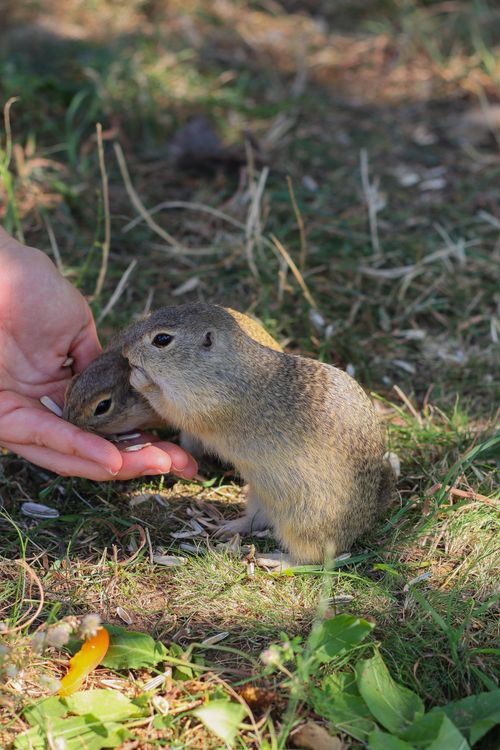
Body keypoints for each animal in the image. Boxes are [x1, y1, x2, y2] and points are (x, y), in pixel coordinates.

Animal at [121, 303, 395, 565]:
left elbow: (167, 405)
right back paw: (229, 526)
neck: (223, 367)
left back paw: (277, 561)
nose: (124, 348)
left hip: (301, 522)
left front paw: (139, 377)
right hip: (260, 495)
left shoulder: (202, 404)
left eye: (162, 339)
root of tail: (363, 523)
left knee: (313, 559)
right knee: (258, 520)